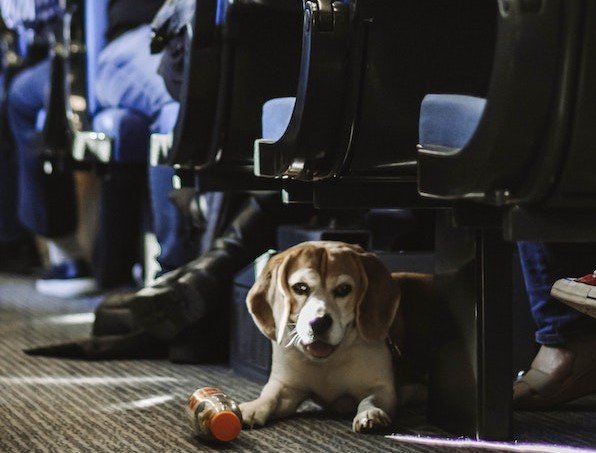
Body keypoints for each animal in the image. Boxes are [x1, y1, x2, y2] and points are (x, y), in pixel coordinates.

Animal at [239, 242, 434, 432]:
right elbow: (270, 396)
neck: (328, 362)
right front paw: (252, 408)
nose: (318, 323)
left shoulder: (382, 389)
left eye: (344, 289)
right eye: (300, 288)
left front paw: (370, 414)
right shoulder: (285, 387)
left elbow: (370, 400)